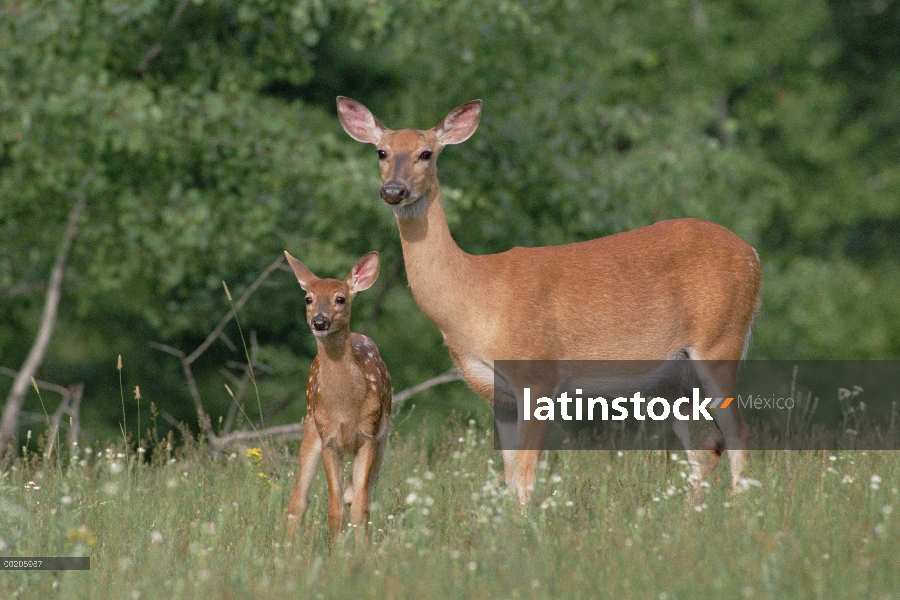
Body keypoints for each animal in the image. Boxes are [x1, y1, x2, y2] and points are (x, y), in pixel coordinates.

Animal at [284, 250, 390, 544]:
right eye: (308, 298)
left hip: (383, 439)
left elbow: (360, 508)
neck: (345, 408)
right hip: (310, 427)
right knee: (298, 498)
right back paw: (286, 550)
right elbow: (334, 511)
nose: (319, 322)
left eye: (340, 298)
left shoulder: (369, 436)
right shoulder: (329, 439)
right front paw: (336, 553)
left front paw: (361, 553)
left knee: (355, 495)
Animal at [336, 96, 760, 504]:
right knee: (705, 447)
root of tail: (752, 255)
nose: (394, 191)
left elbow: (525, 477)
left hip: (721, 339)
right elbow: (509, 478)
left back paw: (739, 512)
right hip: (673, 374)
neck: (475, 294)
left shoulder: (537, 374)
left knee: (738, 430)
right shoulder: (497, 393)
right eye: (381, 151)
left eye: (426, 153)